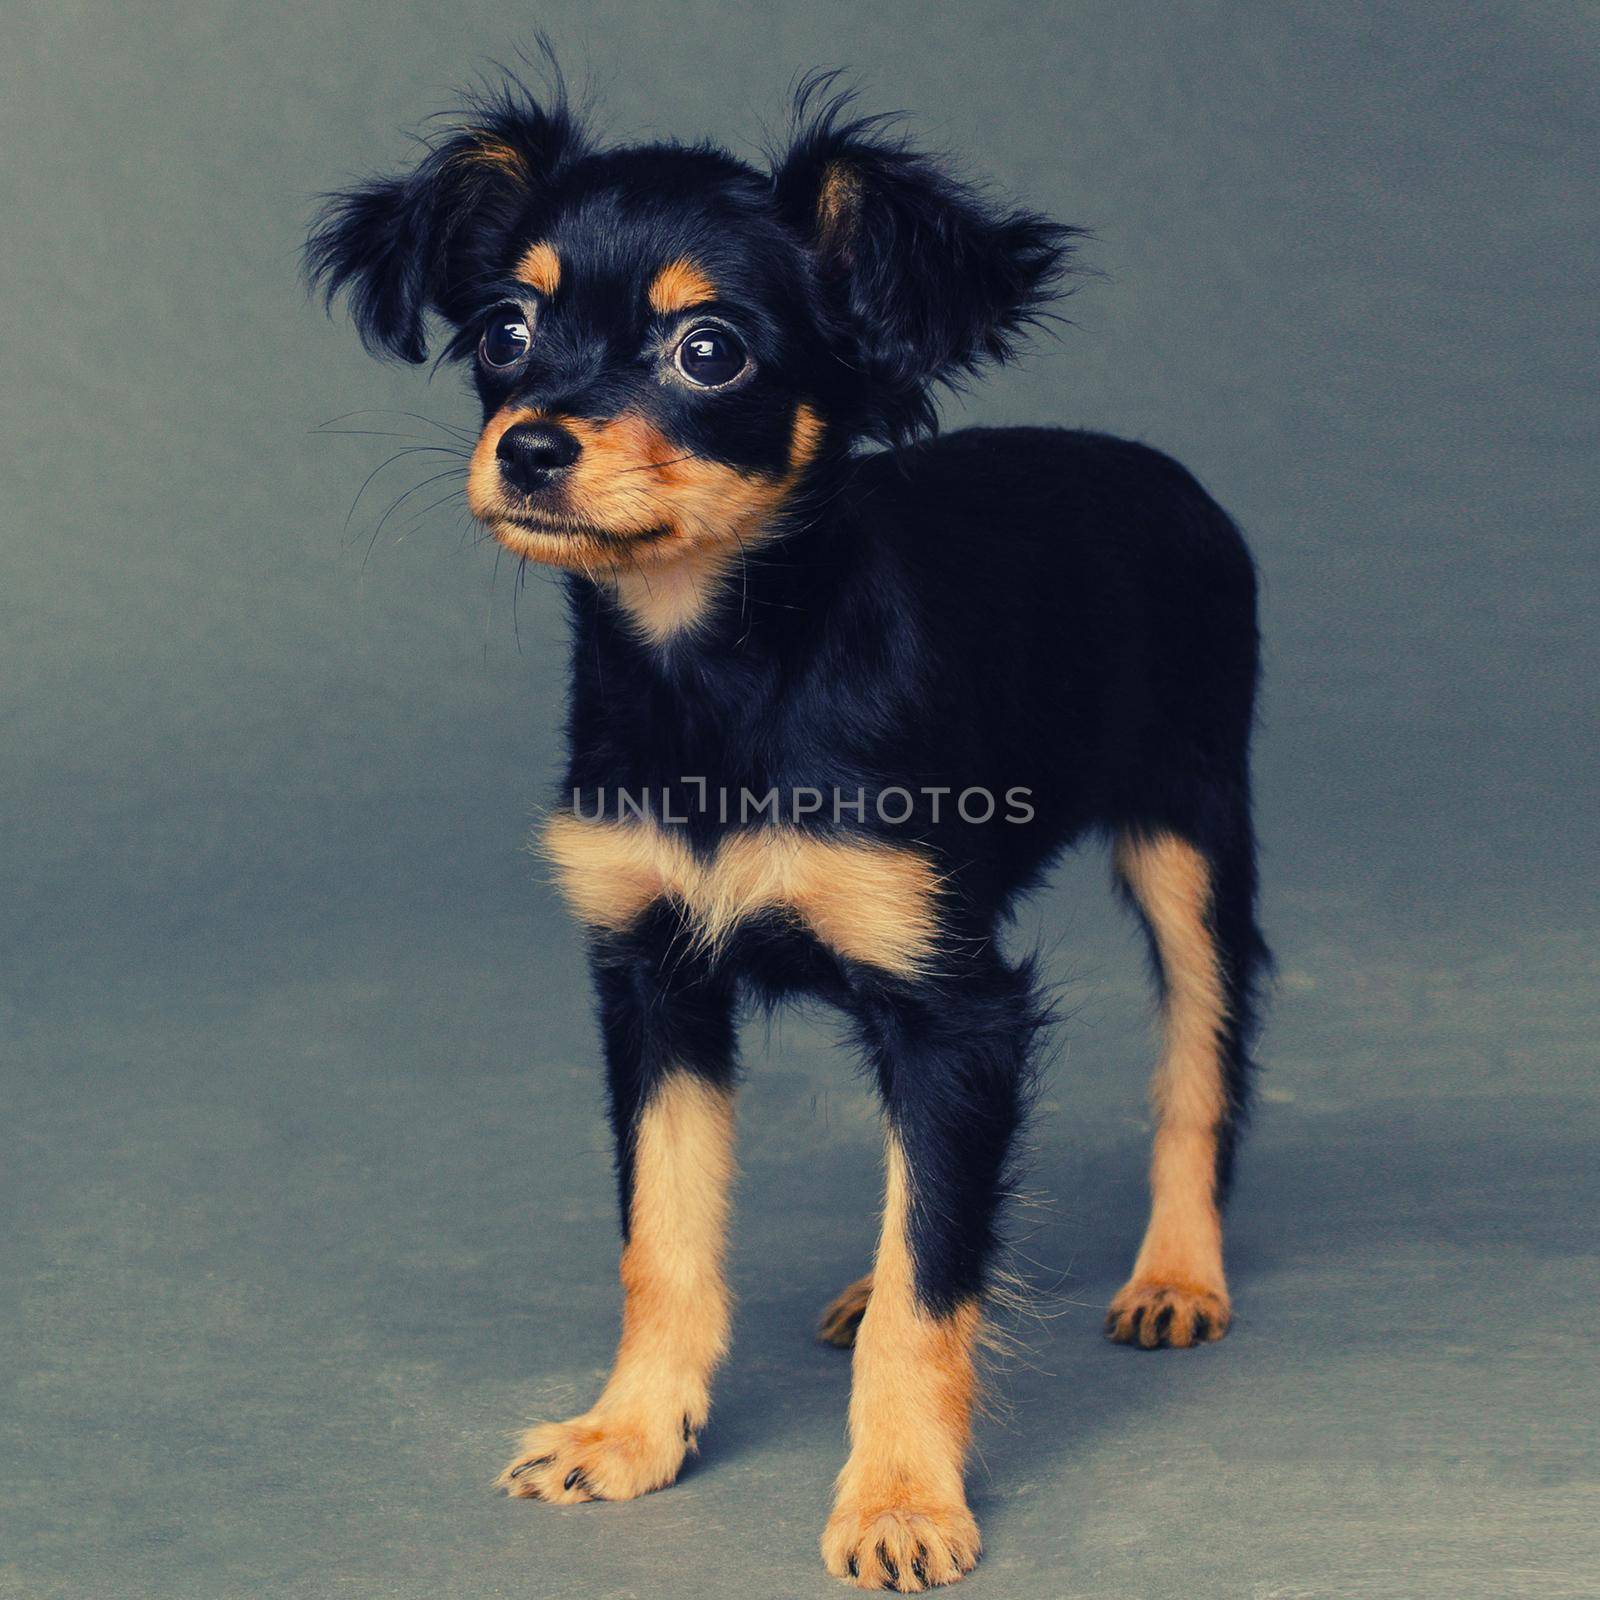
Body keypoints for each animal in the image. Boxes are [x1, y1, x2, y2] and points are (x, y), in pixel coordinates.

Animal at [305, 65, 1267, 1587]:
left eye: (709, 353)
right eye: (506, 332)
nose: (528, 446)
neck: (718, 672)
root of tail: (1154, 470)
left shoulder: (956, 1006)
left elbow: (936, 1290)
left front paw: (899, 1499)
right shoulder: (654, 981)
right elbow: (665, 1240)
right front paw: (631, 1435)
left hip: (1190, 839)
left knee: (1199, 1062)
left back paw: (1176, 1273)